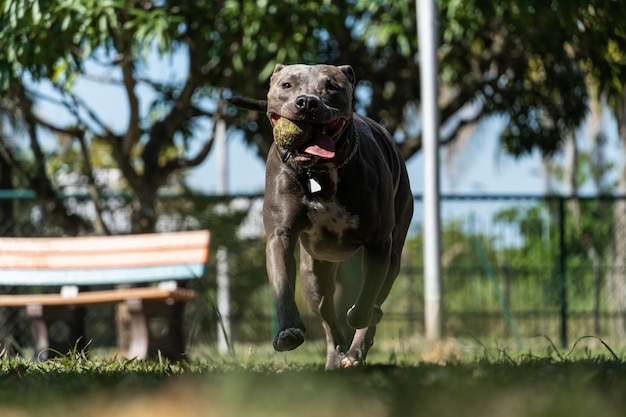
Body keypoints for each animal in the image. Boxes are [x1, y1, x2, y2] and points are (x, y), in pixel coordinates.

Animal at [227, 62, 412, 368]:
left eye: (332, 87)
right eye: (287, 85)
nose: (307, 102)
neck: (319, 171)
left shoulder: (378, 244)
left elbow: (367, 298)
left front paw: (359, 316)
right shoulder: (280, 236)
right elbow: (282, 283)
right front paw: (287, 331)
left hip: (394, 257)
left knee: (374, 303)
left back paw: (355, 352)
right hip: (313, 272)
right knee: (326, 315)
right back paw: (336, 354)